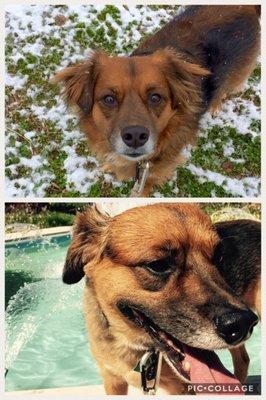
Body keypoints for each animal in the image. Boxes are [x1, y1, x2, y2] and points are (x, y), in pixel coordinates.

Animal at [53, 4, 260, 195]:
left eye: (155, 97)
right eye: (109, 99)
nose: (135, 136)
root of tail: (249, 7)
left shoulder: (156, 170)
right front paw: (110, 165)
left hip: (235, 76)